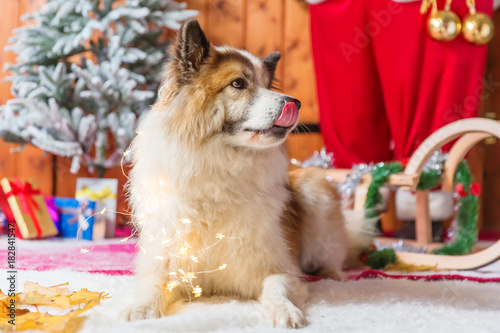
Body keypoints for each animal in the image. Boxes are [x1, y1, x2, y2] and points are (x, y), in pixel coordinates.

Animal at [126, 19, 368, 328]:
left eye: (266, 84)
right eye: (238, 84)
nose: (295, 103)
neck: (220, 168)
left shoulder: (277, 268)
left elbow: (277, 287)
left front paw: (284, 310)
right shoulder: (167, 259)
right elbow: (153, 284)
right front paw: (141, 308)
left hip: (316, 192)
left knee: (332, 257)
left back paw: (336, 276)